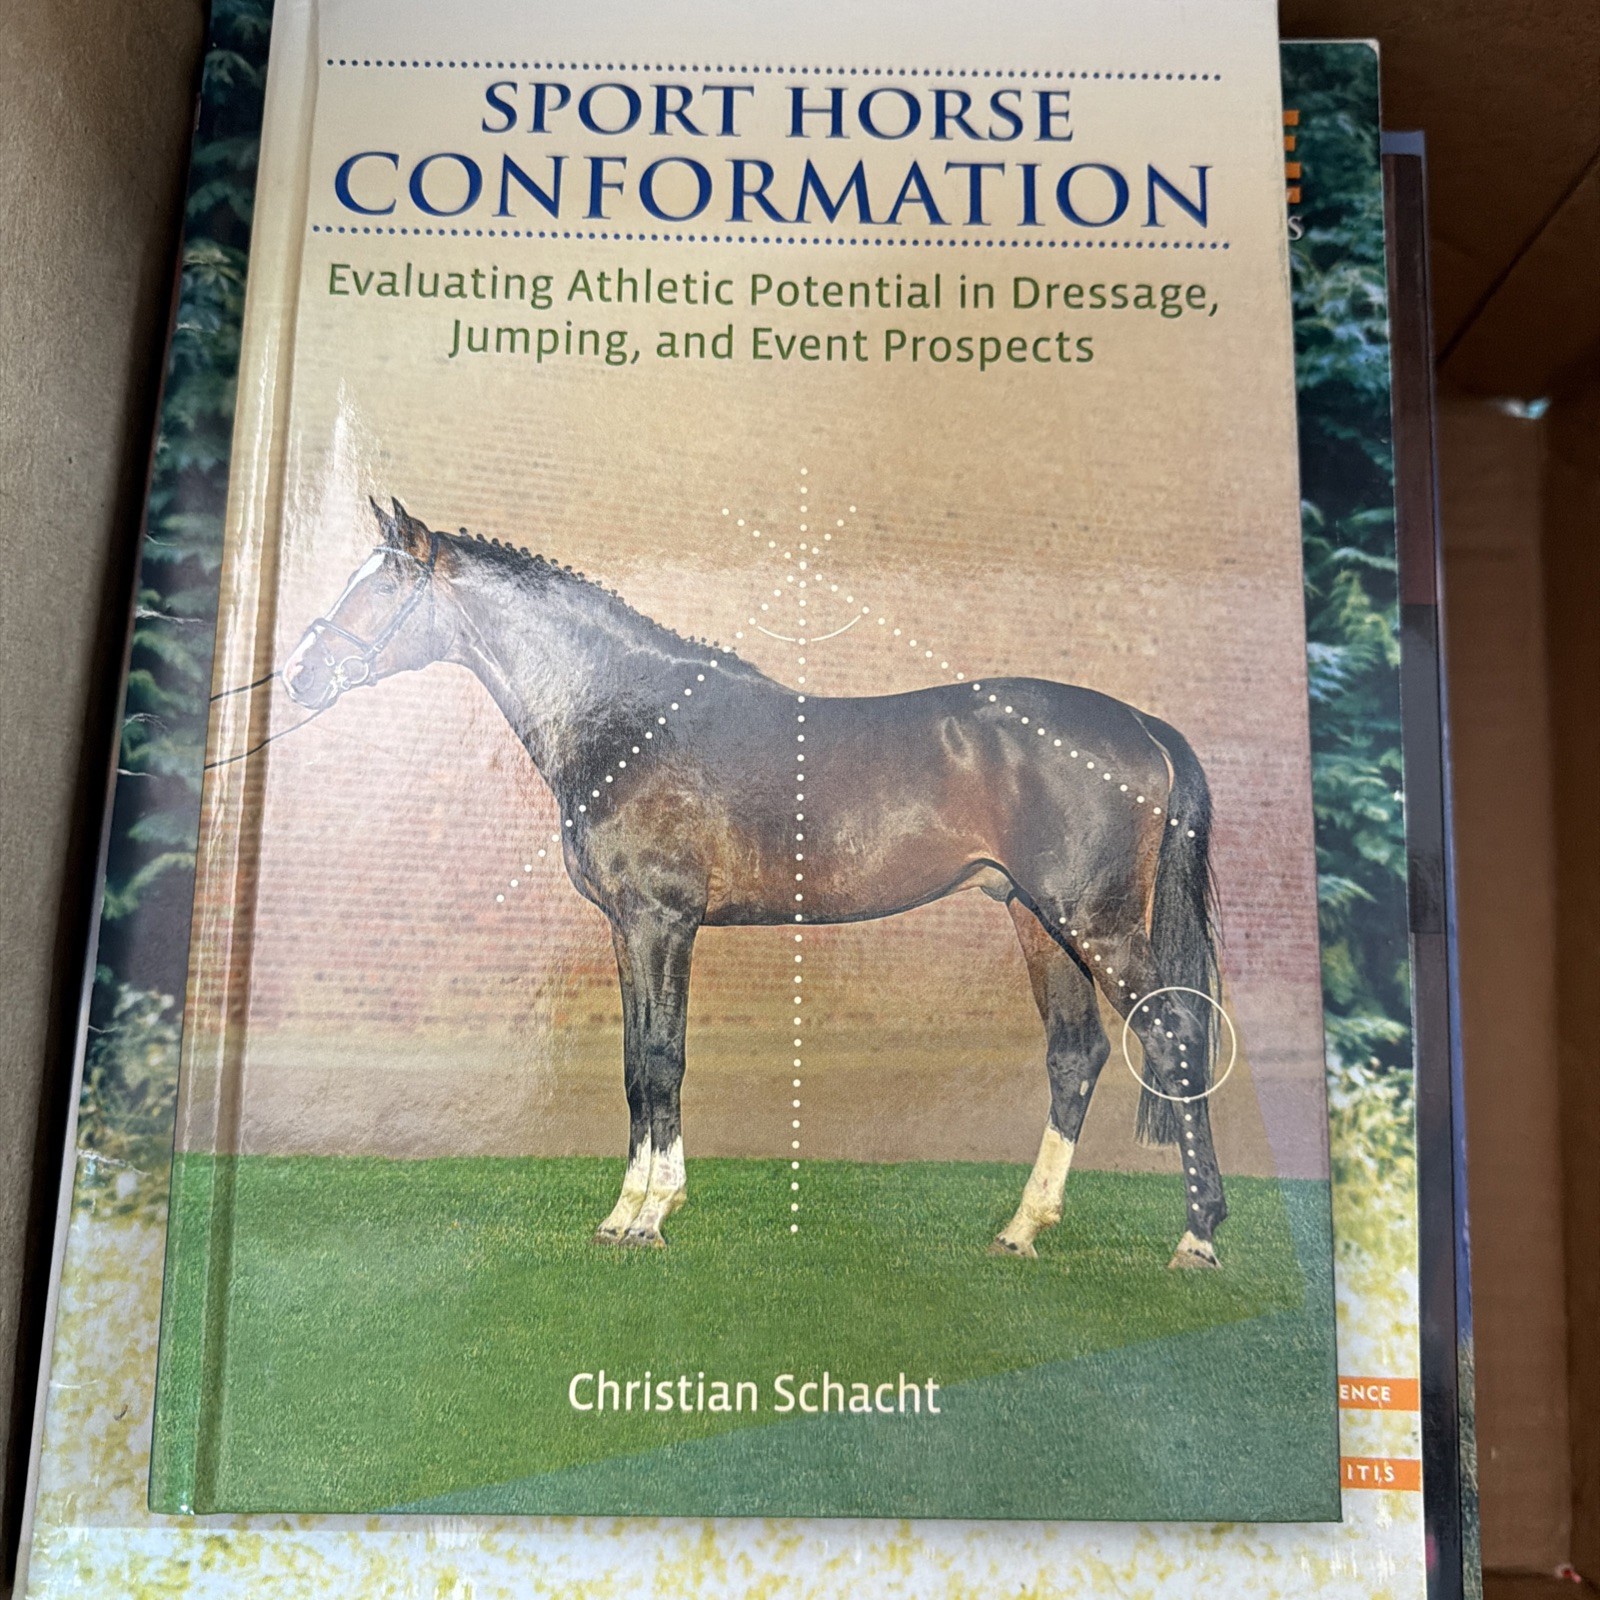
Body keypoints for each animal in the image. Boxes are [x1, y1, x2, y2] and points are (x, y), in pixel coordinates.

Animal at [281, 498, 1230, 1268]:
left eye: (378, 587)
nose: (297, 675)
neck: (628, 717)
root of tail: (1141, 723)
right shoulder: (626, 927)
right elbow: (635, 1061)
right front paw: (627, 1210)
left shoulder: (662, 920)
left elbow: (662, 1059)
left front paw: (650, 1216)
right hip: (1040, 920)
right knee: (1077, 1055)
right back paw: (1023, 1228)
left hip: (1096, 922)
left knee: (1176, 1032)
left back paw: (1197, 1236)